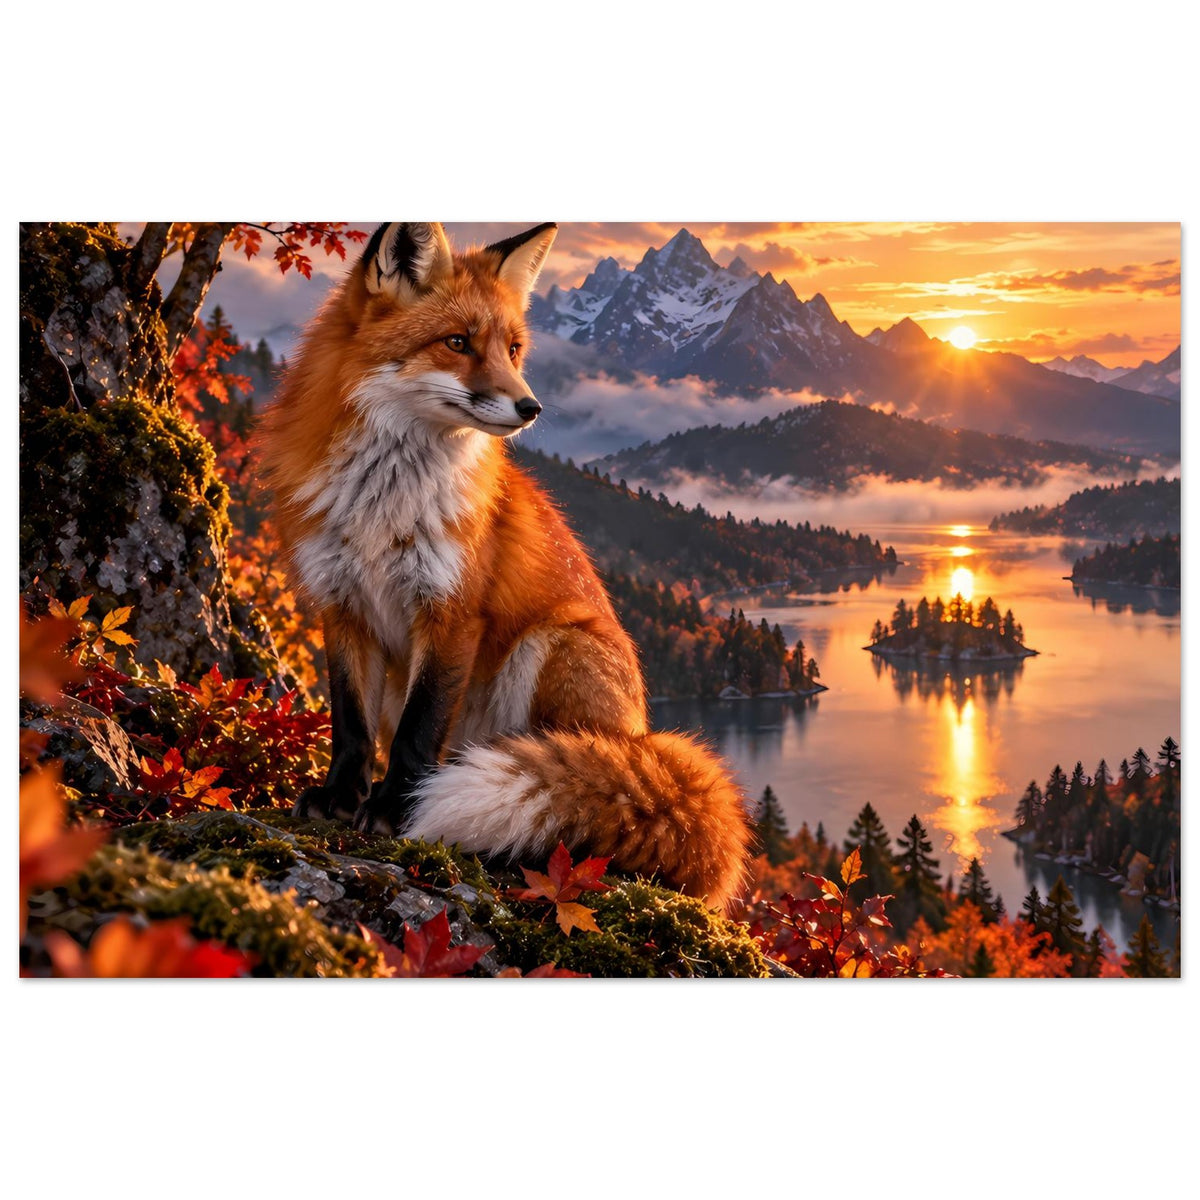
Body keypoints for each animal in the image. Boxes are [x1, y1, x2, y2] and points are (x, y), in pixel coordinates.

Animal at [259, 221, 752, 911]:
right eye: (458, 343)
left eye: (513, 349)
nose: (532, 408)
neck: (383, 506)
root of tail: (641, 735)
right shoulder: (342, 603)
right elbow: (351, 724)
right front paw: (339, 798)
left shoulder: (453, 610)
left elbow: (417, 730)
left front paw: (396, 811)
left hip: (551, 646)